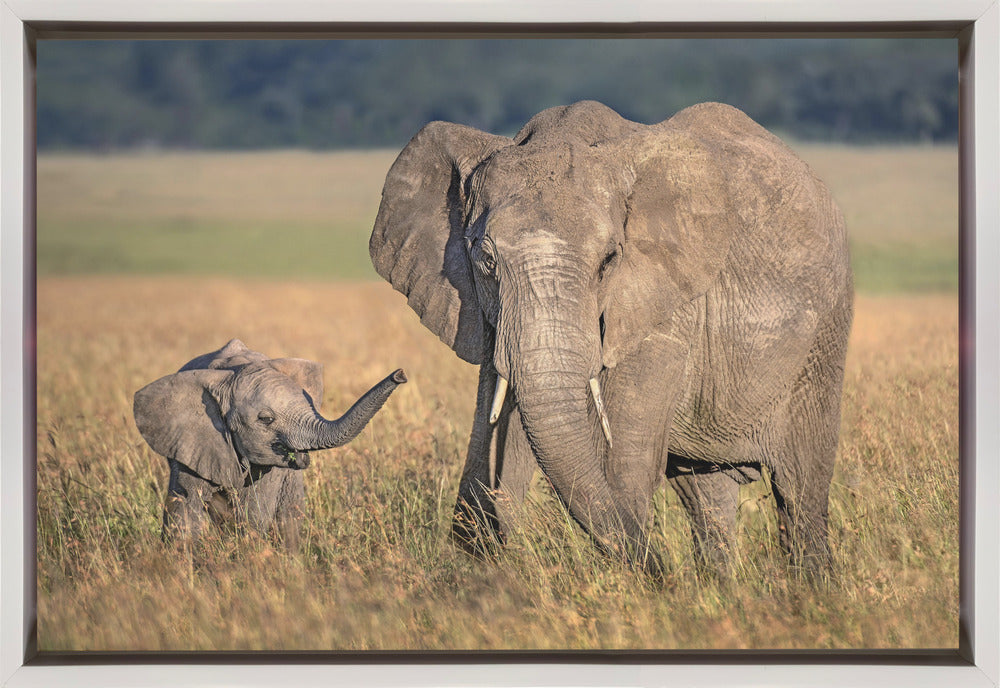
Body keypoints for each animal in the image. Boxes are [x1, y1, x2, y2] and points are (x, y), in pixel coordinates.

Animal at [133, 338, 406, 549]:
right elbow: (185, 509)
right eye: (266, 419)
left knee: (289, 517)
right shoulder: (193, 441)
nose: (400, 374)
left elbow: (255, 512)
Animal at [369, 100, 853, 578]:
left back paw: (811, 586)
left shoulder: (664, 307)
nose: (666, 571)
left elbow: (618, 465)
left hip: (822, 341)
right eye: (485, 260)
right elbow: (498, 440)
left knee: (800, 486)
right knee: (706, 492)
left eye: (608, 261)